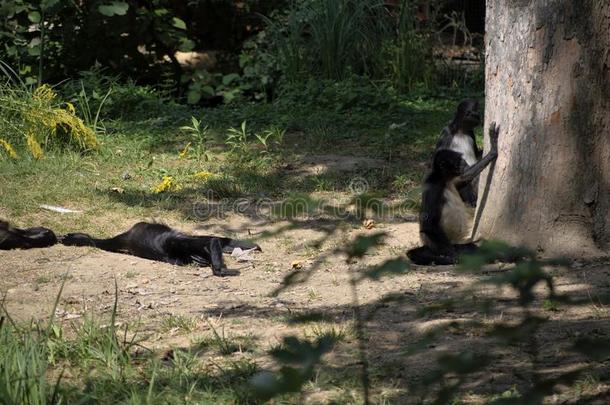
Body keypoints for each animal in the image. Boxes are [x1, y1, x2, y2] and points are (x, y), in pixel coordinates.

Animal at [404, 121, 498, 266]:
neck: (443, 179)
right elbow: (429, 225)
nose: (463, 163)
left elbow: (466, 176)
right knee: (416, 251)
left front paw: (493, 149)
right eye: (457, 161)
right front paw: (452, 255)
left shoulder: (453, 179)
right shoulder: (433, 187)